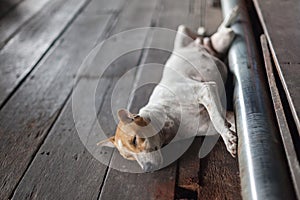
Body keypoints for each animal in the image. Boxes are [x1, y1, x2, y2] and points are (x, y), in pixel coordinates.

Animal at [98, 6, 239, 172]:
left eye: (134, 140)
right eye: (129, 157)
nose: (147, 169)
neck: (167, 120)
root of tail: (197, 44)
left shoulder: (206, 89)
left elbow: (217, 120)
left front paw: (229, 140)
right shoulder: (210, 122)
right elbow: (226, 121)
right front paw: (229, 134)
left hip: (224, 38)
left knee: (225, 27)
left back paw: (232, 14)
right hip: (197, 35)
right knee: (205, 32)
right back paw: (204, 30)